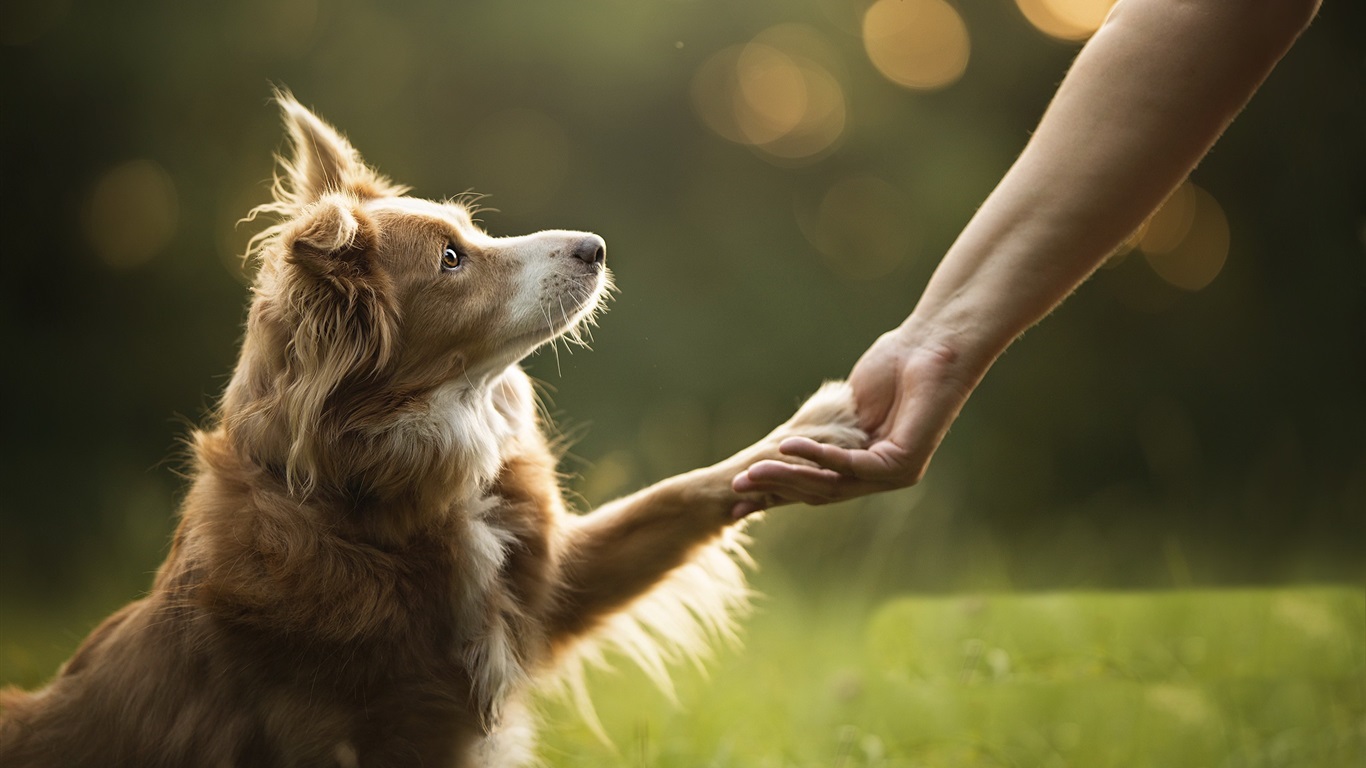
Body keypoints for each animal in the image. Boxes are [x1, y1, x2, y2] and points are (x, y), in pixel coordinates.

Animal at [0, 95, 863, 765]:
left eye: (469, 233)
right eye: (451, 259)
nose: (596, 248)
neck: (383, 505)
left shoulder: (549, 586)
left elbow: (676, 497)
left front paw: (823, 425)